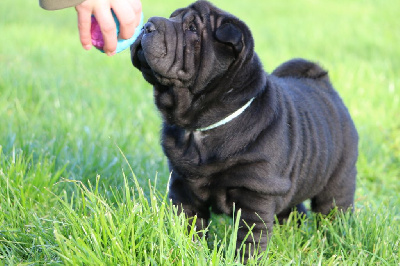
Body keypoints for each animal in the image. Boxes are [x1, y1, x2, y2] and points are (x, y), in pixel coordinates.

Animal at [130, 0, 358, 258]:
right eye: (173, 17)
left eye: (192, 28)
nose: (147, 25)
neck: (199, 127)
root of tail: (324, 84)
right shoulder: (183, 186)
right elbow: (189, 224)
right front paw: (189, 250)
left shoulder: (255, 194)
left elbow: (250, 237)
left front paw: (244, 259)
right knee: (293, 209)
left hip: (338, 180)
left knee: (333, 211)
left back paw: (336, 240)